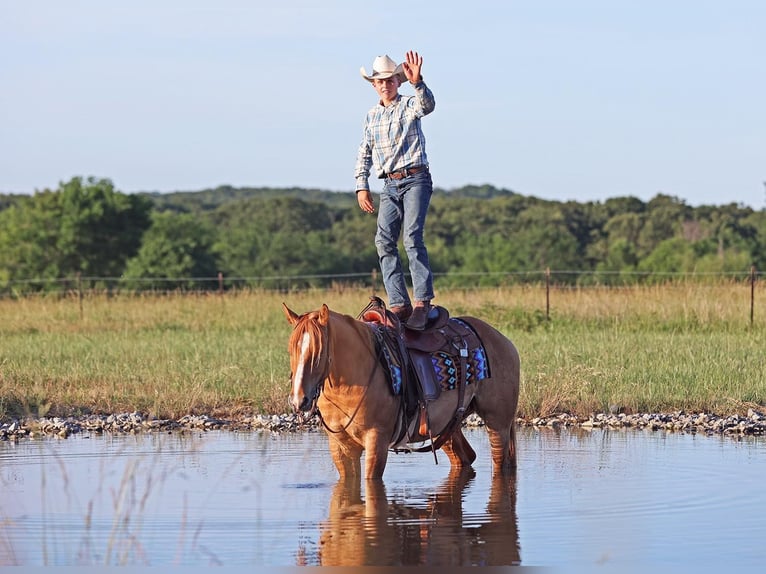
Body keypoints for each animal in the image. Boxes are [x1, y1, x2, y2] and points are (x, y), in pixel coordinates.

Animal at [283, 302, 520, 480]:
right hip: (446, 426)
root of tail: (504, 341)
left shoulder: (376, 441)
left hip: (498, 423)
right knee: (465, 458)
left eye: (319, 352)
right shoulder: (340, 446)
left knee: (501, 464)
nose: (299, 400)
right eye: (290, 349)